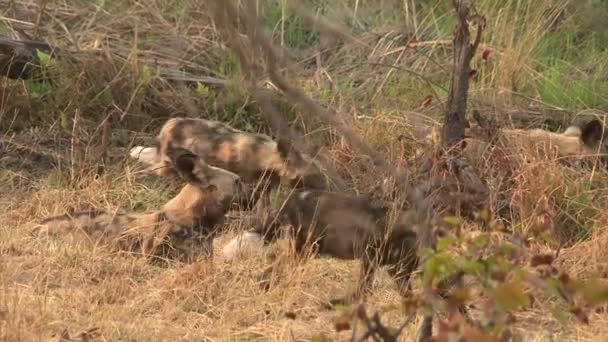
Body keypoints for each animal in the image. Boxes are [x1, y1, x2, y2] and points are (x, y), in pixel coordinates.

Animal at [129, 117, 328, 208]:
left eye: (321, 174)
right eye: (310, 177)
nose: (326, 188)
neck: (266, 157)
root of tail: (167, 127)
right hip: (167, 168)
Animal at [227, 190, 428, 304]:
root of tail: (292, 199)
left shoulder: (383, 266)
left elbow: (362, 290)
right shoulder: (373, 260)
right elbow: (362, 290)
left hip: (306, 250)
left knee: (272, 268)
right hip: (304, 250)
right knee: (273, 267)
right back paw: (267, 287)